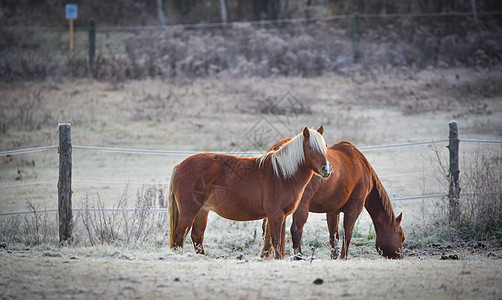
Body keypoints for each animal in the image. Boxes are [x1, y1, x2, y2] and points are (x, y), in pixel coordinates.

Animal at [170, 126, 334, 258]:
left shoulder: (279, 216)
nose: (326, 169)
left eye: (325, 146)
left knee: (197, 236)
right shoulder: (275, 215)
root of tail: (180, 165)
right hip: (189, 211)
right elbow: (276, 241)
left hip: (202, 211)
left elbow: (272, 242)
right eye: (310, 147)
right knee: (179, 236)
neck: (282, 175)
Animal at [262, 139, 404, 258]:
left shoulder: (332, 211)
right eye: (402, 237)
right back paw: (298, 256)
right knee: (295, 230)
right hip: (301, 206)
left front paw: (334, 257)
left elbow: (333, 236)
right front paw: (343, 258)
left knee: (271, 230)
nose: (401, 255)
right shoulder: (355, 208)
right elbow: (347, 234)